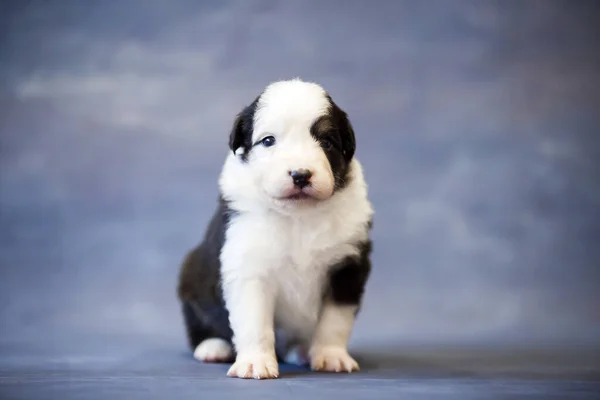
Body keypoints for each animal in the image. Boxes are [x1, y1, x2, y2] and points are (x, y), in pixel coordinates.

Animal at [176, 79, 372, 382]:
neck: (299, 216)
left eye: (327, 141)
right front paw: (255, 363)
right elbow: (254, 322)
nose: (301, 175)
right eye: (268, 140)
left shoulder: (348, 266)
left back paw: (302, 351)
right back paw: (213, 347)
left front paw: (332, 357)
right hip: (192, 276)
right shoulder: (249, 266)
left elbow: (335, 320)